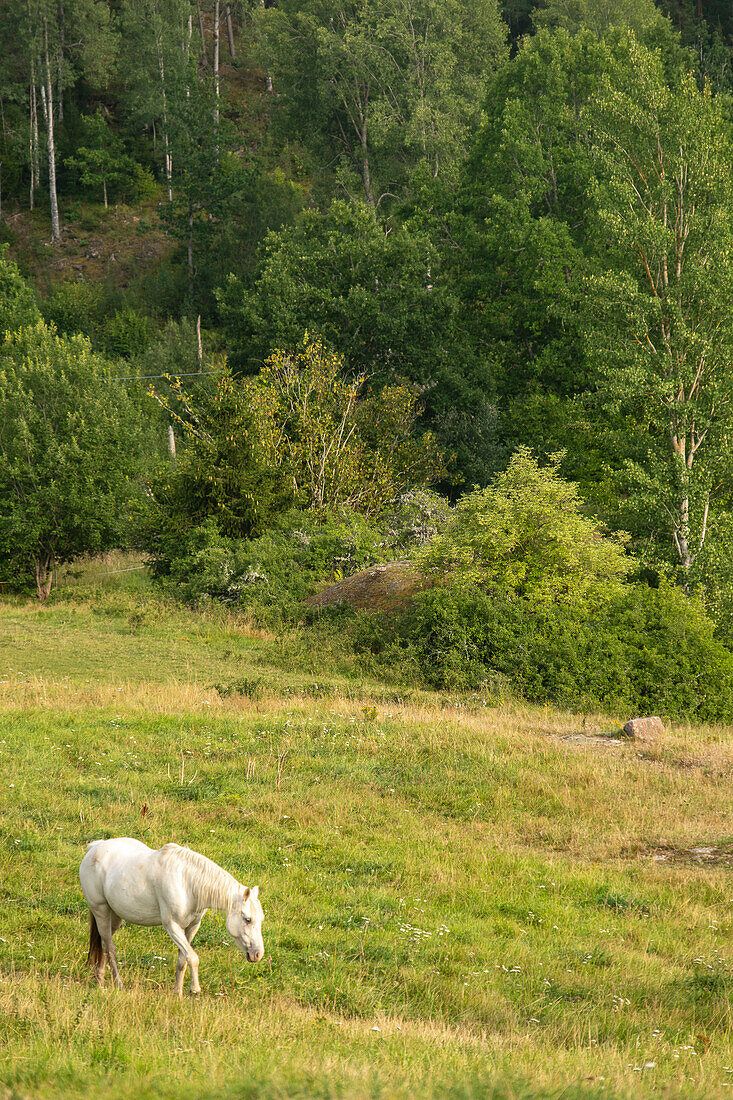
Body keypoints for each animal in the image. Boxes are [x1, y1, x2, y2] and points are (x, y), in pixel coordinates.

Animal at [79, 836, 263, 994]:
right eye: (247, 919)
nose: (258, 954)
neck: (187, 883)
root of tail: (94, 847)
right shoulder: (172, 926)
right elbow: (193, 957)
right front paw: (195, 990)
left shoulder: (191, 927)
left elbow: (183, 960)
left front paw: (177, 992)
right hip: (101, 911)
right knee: (109, 948)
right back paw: (118, 984)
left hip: (116, 916)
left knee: (104, 944)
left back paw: (99, 980)